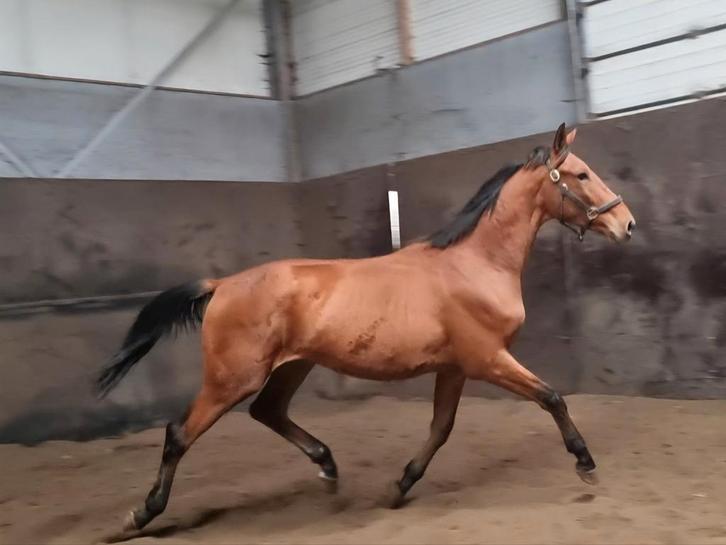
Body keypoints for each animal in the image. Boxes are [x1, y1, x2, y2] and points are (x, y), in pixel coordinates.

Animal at [97, 123, 635, 533]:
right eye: (581, 174)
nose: (626, 225)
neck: (474, 264)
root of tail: (222, 284)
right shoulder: (487, 359)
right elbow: (551, 397)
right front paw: (585, 464)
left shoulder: (455, 368)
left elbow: (441, 428)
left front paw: (399, 487)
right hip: (232, 378)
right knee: (179, 433)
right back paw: (140, 515)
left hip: (291, 367)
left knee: (267, 412)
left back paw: (328, 468)